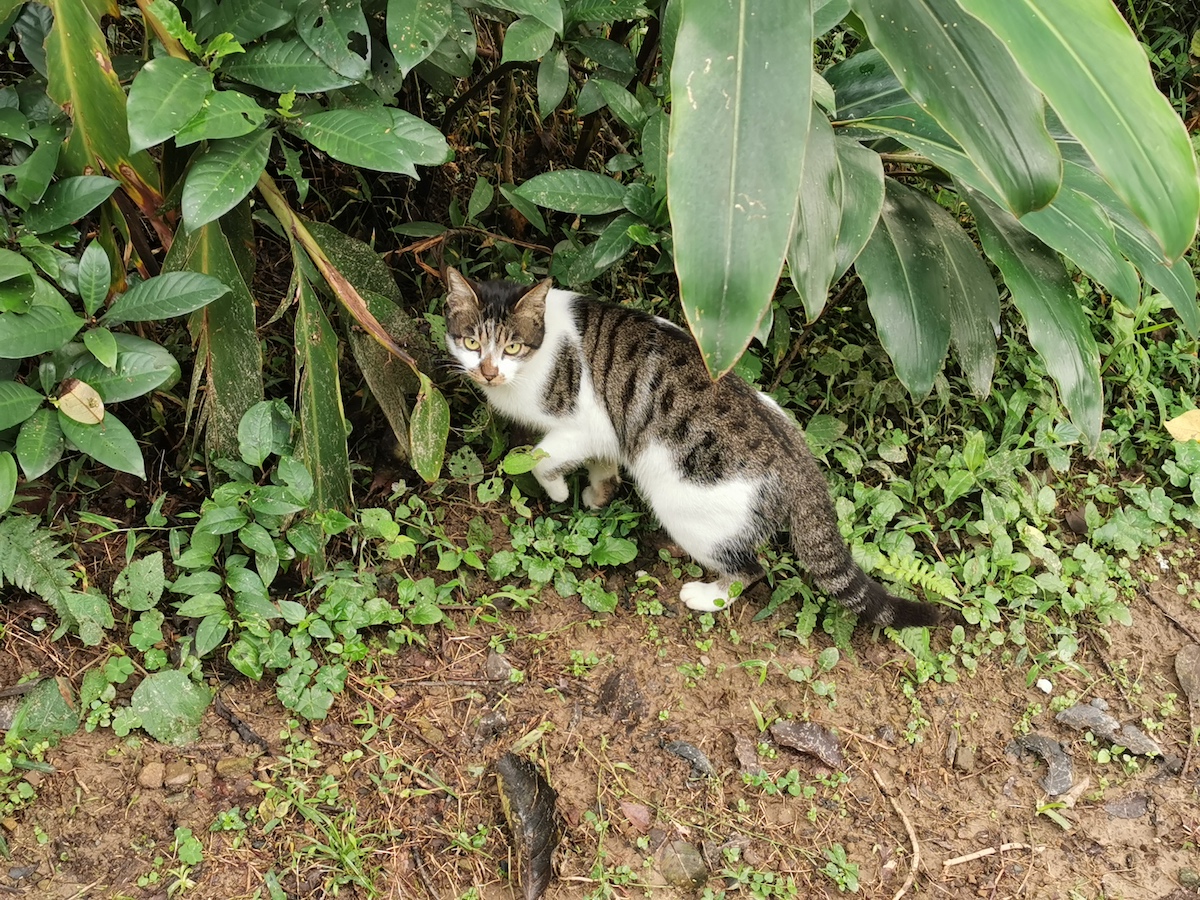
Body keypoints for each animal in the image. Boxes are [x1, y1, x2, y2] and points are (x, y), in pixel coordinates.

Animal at [446, 267, 940, 628]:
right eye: (471, 341)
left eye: (511, 346)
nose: (488, 371)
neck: (543, 346)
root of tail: (800, 465)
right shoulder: (610, 435)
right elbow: (602, 463)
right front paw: (599, 492)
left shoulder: (584, 426)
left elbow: (539, 461)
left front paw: (560, 491)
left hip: (690, 510)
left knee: (751, 571)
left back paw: (705, 595)